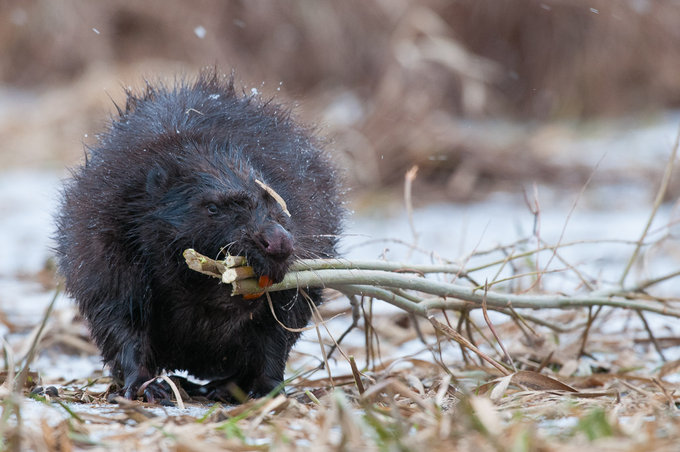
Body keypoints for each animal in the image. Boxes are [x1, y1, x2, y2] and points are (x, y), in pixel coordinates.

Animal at [53, 70, 342, 402]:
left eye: (273, 200)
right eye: (213, 208)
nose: (277, 242)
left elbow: (279, 328)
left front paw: (267, 389)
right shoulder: (104, 244)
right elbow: (121, 319)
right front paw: (148, 387)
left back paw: (222, 388)